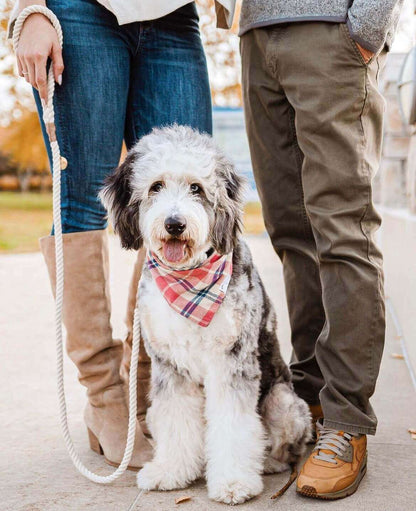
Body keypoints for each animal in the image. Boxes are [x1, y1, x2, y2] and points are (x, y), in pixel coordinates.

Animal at [99, 125, 310, 504]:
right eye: (156, 186)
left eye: (196, 187)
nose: (174, 224)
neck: (188, 280)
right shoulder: (169, 366)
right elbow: (176, 420)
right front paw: (171, 471)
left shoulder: (231, 361)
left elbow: (233, 425)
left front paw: (234, 481)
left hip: (286, 403)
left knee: (284, 445)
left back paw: (268, 462)